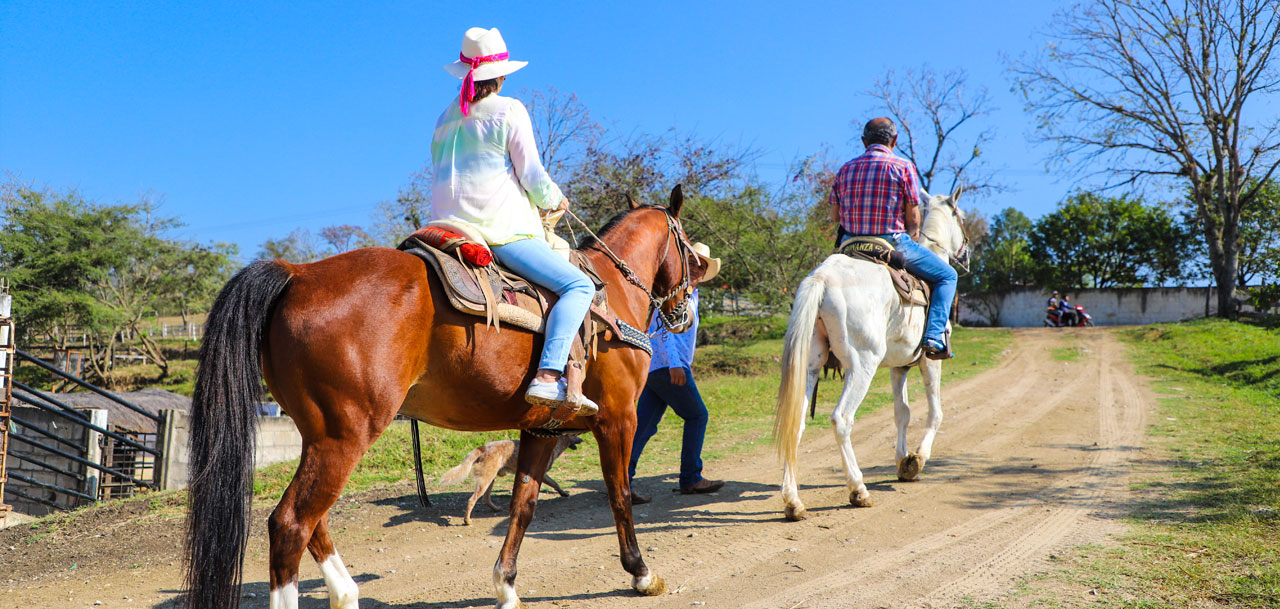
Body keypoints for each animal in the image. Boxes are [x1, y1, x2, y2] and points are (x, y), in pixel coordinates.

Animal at [437, 432, 583, 524]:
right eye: (574, 434)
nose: (583, 439)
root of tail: (483, 447)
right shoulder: (541, 474)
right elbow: (555, 483)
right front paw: (563, 493)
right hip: (485, 481)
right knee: (472, 500)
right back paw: (467, 521)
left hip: (490, 479)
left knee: (485, 498)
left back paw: (496, 509)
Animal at [768, 188, 967, 522]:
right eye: (962, 218)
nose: (965, 255)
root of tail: (822, 278)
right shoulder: (929, 361)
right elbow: (935, 412)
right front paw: (917, 460)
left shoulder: (899, 367)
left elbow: (902, 412)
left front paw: (903, 461)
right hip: (862, 366)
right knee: (841, 419)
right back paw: (858, 489)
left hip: (810, 367)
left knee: (795, 424)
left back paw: (793, 501)